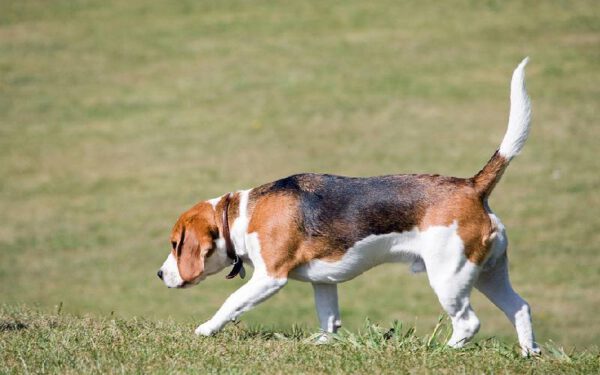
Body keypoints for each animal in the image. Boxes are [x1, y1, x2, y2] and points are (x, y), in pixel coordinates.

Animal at [158, 58, 540, 356]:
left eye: (176, 245)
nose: (160, 274)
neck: (242, 213)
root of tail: (471, 186)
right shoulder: (323, 282)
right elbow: (329, 317)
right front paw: (323, 342)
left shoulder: (270, 277)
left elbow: (232, 302)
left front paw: (206, 329)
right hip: (488, 272)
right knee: (520, 307)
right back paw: (529, 353)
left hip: (450, 276)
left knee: (468, 323)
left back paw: (444, 351)